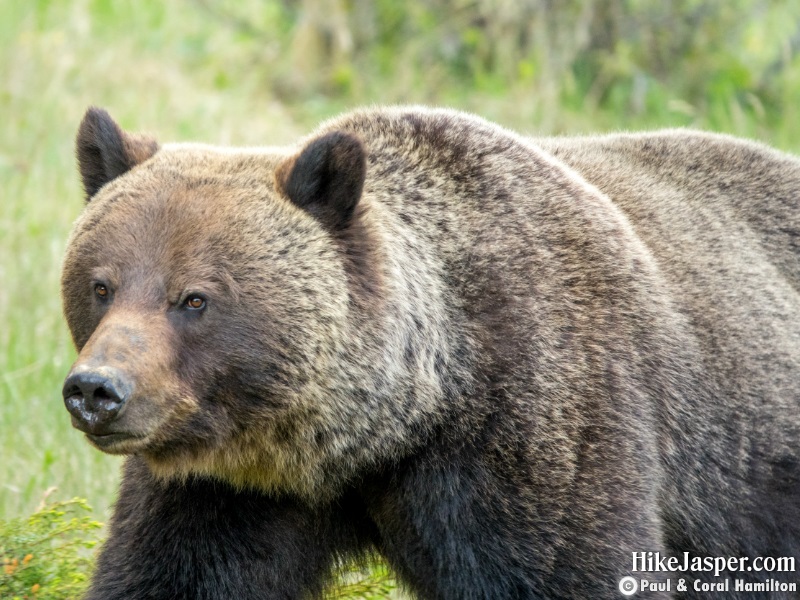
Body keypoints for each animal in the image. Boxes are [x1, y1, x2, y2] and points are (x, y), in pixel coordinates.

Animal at [64, 105, 800, 596]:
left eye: (194, 299)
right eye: (101, 285)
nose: (97, 390)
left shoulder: (539, 426)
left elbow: (566, 565)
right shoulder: (226, 490)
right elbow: (172, 572)